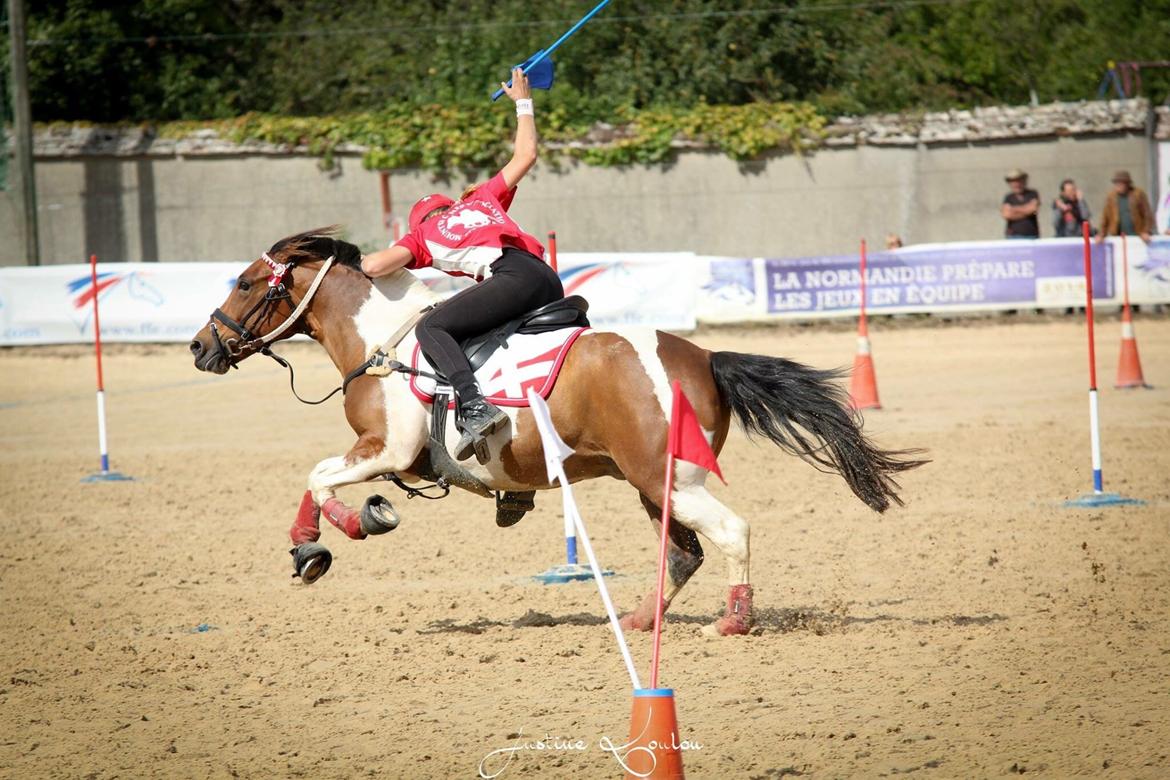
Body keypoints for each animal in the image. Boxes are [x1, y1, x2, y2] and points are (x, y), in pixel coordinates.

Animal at [191, 229, 921, 636]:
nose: (201, 347)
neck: (381, 340)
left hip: (669, 478)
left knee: (730, 533)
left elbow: (319, 475)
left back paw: (733, 622)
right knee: (684, 553)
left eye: (247, 283)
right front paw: (313, 545)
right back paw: (638, 620)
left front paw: (344, 529)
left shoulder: (388, 449)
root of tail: (705, 358)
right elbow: (315, 477)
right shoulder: (388, 455)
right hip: (652, 482)